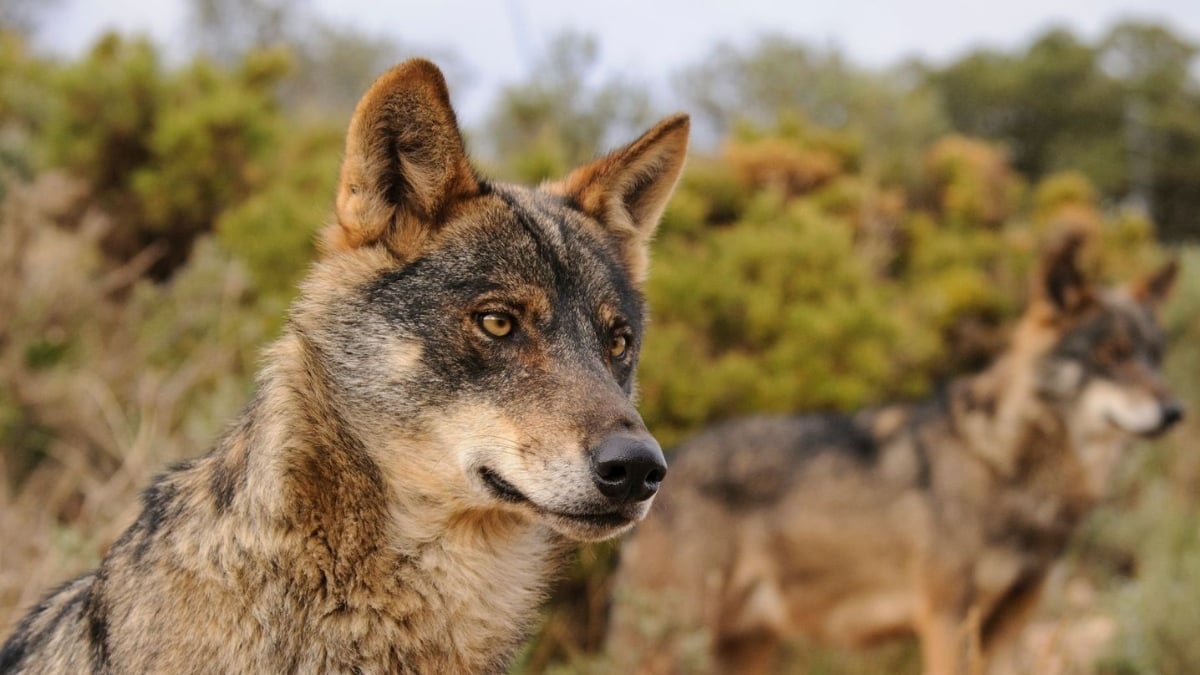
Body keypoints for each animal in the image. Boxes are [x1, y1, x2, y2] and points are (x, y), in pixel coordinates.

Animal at [609, 233, 1180, 672]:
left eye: (1154, 356)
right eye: (1112, 355)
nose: (1176, 411)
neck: (1003, 460)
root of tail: (665, 462)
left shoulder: (1010, 625)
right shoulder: (947, 619)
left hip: (744, 646)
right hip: (668, 642)